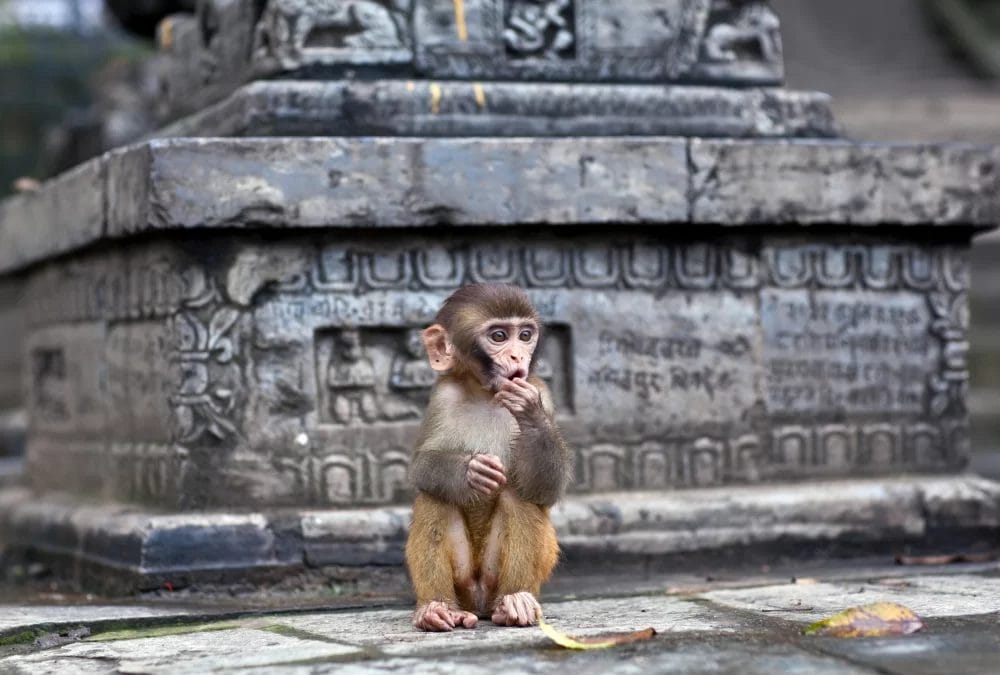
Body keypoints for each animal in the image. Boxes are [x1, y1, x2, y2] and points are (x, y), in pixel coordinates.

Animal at [405, 284, 573, 632]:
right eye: (498, 336)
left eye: (525, 335)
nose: (517, 356)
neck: (486, 394)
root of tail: (480, 603)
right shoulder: (442, 396)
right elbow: (422, 466)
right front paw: (471, 472)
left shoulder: (542, 391)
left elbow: (546, 488)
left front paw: (529, 412)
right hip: (464, 583)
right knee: (434, 495)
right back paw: (436, 608)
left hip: (495, 579)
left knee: (518, 495)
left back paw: (515, 601)